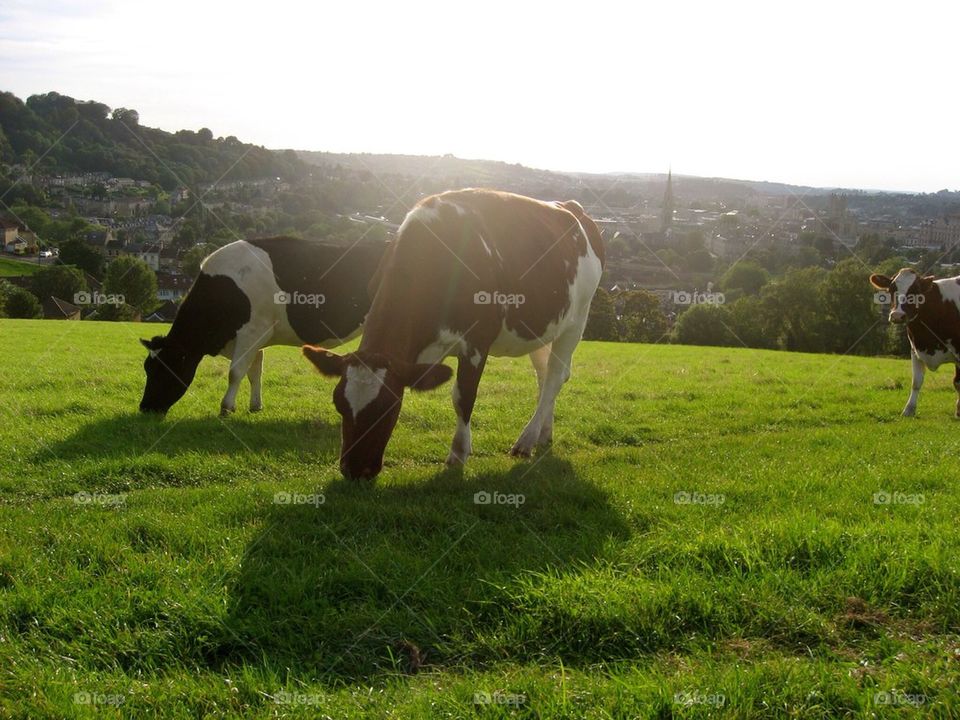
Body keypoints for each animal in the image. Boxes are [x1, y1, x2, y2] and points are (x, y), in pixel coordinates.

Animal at [139, 236, 384, 415]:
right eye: (147, 368)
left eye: (164, 368)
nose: (145, 408)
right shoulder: (256, 337)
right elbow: (254, 371)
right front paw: (255, 405)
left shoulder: (251, 331)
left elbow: (236, 372)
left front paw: (226, 407)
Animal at [302, 188, 604, 479]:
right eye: (339, 404)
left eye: (388, 407)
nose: (354, 469)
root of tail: (571, 207)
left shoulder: (477, 341)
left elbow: (463, 396)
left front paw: (458, 453)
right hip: (542, 327)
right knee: (543, 377)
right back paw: (543, 433)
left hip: (578, 317)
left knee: (555, 376)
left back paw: (526, 441)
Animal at [870, 267, 960, 417]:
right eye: (891, 289)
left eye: (916, 289)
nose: (897, 315)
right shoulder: (915, 349)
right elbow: (916, 381)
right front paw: (909, 409)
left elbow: (957, 382)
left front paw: (959, 410)